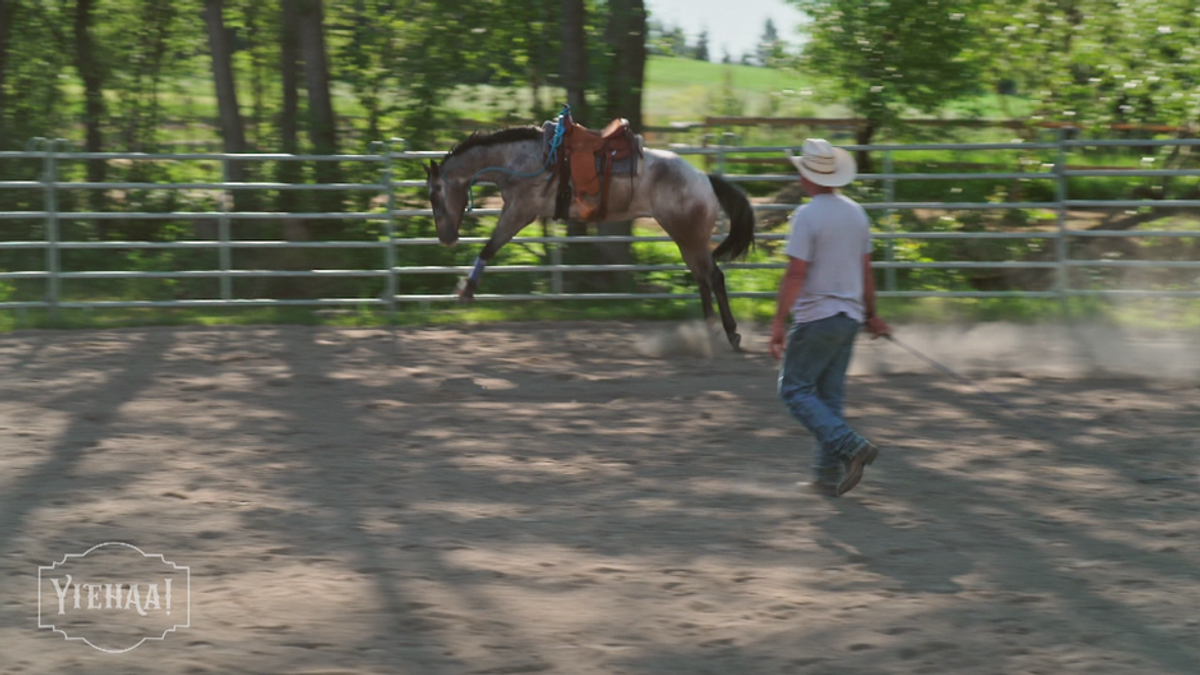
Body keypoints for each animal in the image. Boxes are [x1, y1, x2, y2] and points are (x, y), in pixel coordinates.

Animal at [427, 123, 753, 348]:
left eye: (434, 194)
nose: (446, 238)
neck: (519, 160)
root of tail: (704, 178)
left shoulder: (519, 211)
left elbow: (489, 248)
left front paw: (466, 290)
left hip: (691, 238)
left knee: (714, 278)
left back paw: (731, 334)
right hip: (686, 240)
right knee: (702, 279)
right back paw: (709, 331)